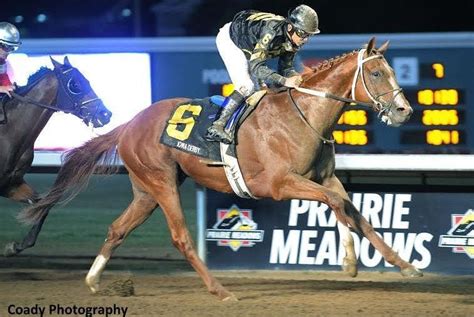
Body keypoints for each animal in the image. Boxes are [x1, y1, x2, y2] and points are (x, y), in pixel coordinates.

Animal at [3, 56, 112, 254]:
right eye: (74, 84)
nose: (105, 114)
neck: (9, 132)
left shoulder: (11, 183)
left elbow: (43, 205)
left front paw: (16, 246)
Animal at [18, 38, 420, 300]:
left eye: (391, 71)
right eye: (377, 74)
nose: (404, 111)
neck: (302, 114)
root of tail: (130, 124)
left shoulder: (324, 178)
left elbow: (355, 211)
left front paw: (403, 264)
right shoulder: (279, 184)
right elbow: (337, 206)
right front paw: (350, 261)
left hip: (145, 190)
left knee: (118, 228)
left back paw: (93, 280)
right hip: (162, 182)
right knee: (180, 237)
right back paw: (219, 290)